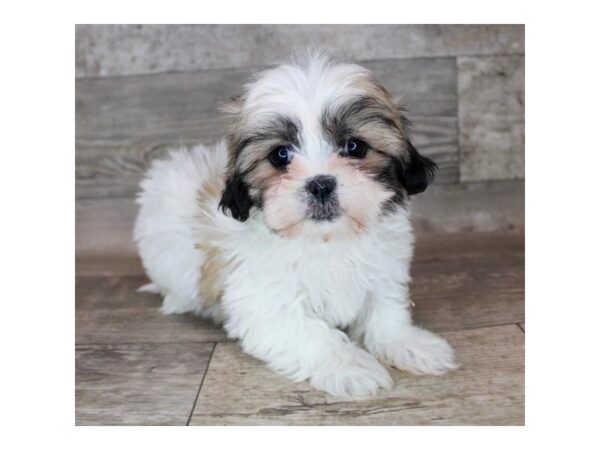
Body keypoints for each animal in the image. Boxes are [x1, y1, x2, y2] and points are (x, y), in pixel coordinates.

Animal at [135, 53, 454, 398]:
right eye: (280, 155)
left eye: (354, 147)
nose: (320, 184)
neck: (326, 240)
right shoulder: (264, 301)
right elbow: (312, 333)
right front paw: (348, 366)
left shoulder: (383, 273)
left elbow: (386, 312)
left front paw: (411, 344)